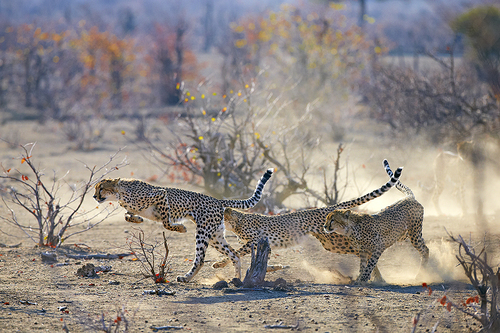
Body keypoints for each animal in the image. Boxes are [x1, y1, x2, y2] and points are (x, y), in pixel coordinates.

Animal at [94, 169, 274, 280]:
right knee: (234, 255)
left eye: (101, 188)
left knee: (200, 259)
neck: (120, 192)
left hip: (203, 232)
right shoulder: (132, 208)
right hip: (215, 236)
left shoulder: (161, 195)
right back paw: (237, 279)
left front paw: (180, 228)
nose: (95, 196)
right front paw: (138, 220)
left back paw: (186, 278)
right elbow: (127, 216)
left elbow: (166, 221)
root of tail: (217, 200)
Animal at [215, 160, 402, 278]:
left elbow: (236, 252)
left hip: (336, 241)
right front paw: (274, 268)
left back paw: (376, 278)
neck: (238, 221)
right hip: (331, 243)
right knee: (365, 252)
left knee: (368, 250)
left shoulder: (255, 240)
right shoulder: (263, 244)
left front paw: (219, 264)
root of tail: (327, 208)